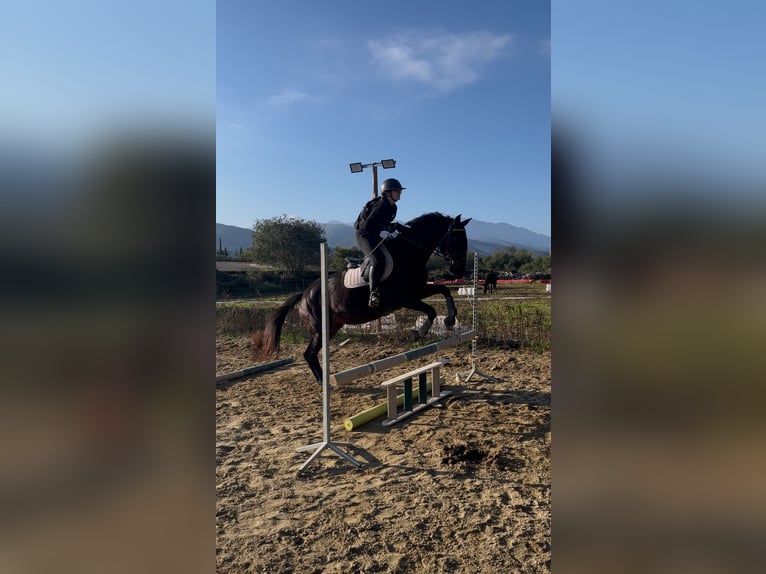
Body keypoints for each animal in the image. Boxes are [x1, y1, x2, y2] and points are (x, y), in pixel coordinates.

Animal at [253, 212, 472, 383]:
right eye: (457, 240)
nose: (459, 269)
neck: (408, 254)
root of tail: (304, 294)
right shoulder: (403, 298)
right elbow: (431, 310)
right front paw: (420, 332)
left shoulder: (418, 290)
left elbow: (444, 290)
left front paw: (450, 318)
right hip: (320, 328)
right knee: (309, 354)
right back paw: (325, 383)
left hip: (333, 326)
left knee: (312, 353)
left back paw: (325, 381)